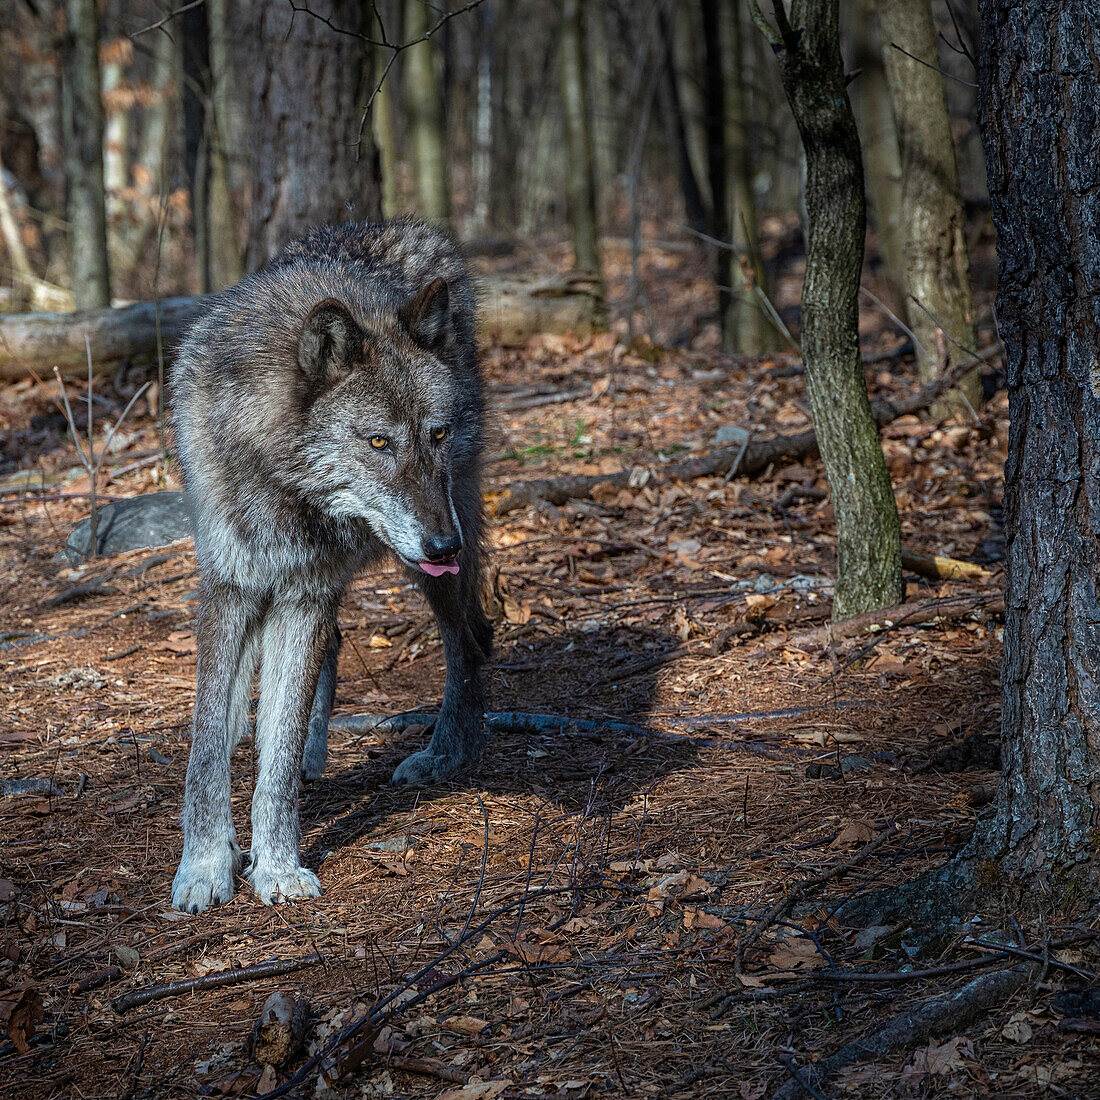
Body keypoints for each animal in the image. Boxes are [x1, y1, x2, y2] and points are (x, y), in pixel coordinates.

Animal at [168, 218, 495, 915]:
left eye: (436, 434)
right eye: (377, 441)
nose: (444, 545)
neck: (284, 487)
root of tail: (395, 225)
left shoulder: (306, 594)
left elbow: (278, 749)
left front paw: (276, 866)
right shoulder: (232, 587)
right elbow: (210, 742)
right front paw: (207, 865)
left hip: (430, 565)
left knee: (469, 638)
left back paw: (449, 750)